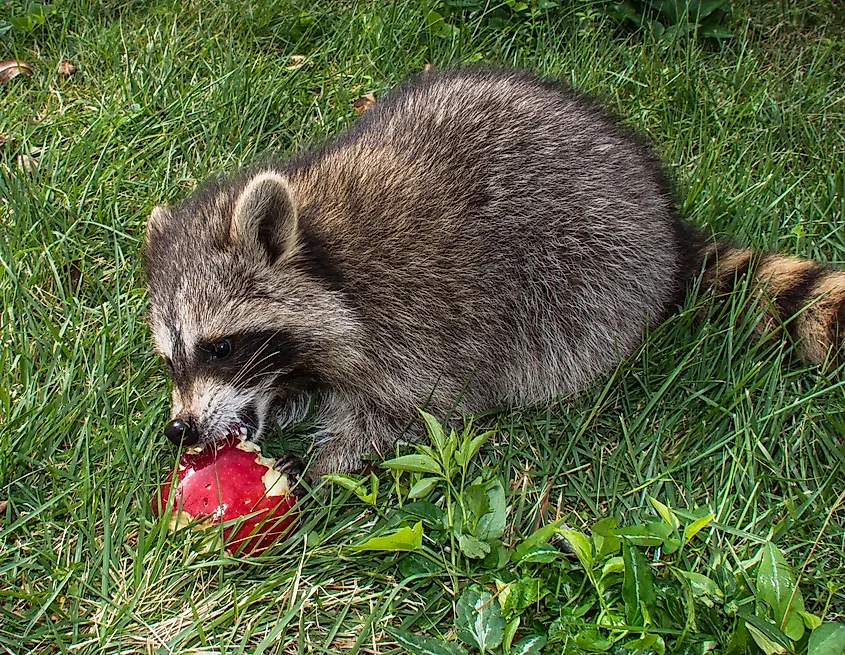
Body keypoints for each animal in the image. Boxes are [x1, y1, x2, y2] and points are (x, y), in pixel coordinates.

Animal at [143, 66, 844, 476]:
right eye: (171, 359)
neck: (325, 251)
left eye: (222, 347)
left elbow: (414, 409)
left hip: (597, 274)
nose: (180, 430)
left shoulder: (417, 321)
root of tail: (668, 221)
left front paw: (324, 464)